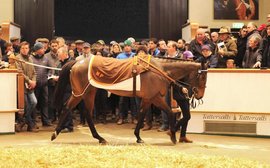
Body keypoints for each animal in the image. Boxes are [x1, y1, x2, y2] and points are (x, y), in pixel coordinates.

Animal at [50, 56, 207, 144]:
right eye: (203, 76)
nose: (200, 95)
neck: (159, 69)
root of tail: (77, 62)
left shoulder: (147, 98)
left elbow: (142, 114)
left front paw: (138, 137)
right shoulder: (154, 97)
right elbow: (168, 112)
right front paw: (173, 135)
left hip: (88, 93)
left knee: (86, 112)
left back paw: (99, 138)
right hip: (80, 93)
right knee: (67, 107)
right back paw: (55, 134)